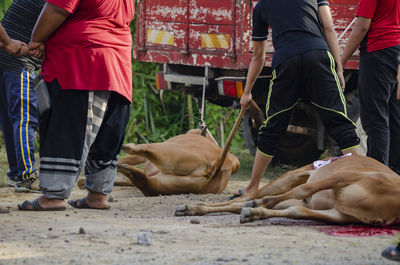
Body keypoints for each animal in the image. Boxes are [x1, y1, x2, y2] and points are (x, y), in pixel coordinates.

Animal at [176, 155, 400, 225]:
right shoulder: (344, 177)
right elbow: (304, 189)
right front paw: (257, 206)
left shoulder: (340, 214)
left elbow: (297, 212)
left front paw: (254, 213)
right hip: (289, 178)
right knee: (246, 197)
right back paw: (191, 207)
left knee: (239, 205)